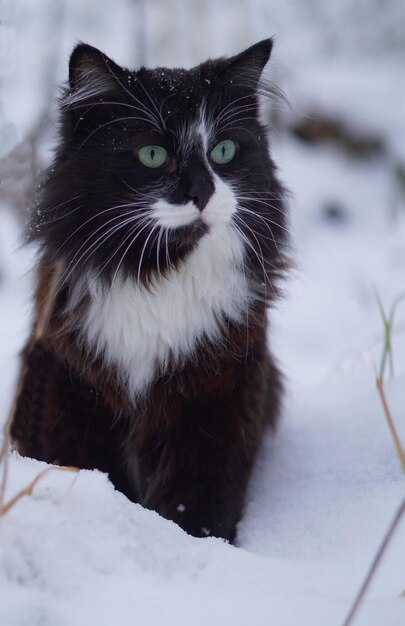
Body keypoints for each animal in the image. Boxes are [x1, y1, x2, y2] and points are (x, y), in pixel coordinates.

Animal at [9, 37, 288, 540]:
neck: (156, 275)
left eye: (224, 150)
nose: (202, 191)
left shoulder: (221, 398)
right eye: (153, 155)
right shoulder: (72, 390)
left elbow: (202, 506)